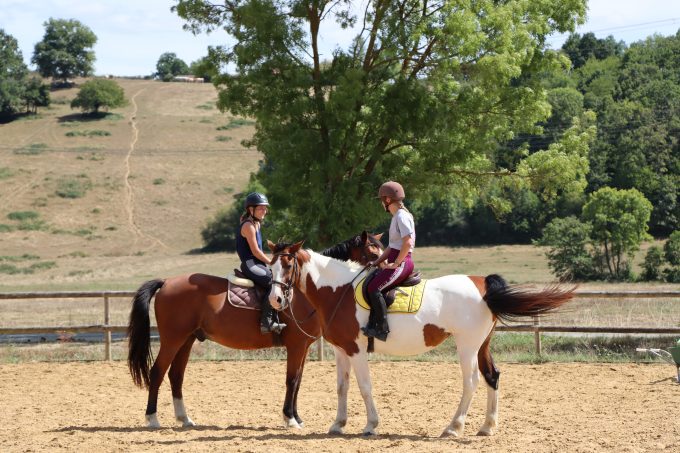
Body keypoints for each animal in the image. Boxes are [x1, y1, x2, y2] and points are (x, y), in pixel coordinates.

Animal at [127, 230, 382, 428]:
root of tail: (167, 282)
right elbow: (291, 380)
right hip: (172, 339)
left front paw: (296, 417)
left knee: (175, 375)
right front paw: (289, 419)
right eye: (373, 254)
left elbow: (298, 380)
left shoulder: (304, 347)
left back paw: (185, 419)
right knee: (157, 372)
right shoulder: (297, 345)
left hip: (187, 340)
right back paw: (152, 419)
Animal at [268, 242, 576, 436]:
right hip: (482, 346)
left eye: (288, 266)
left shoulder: (357, 350)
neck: (338, 290)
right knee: (492, 376)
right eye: (270, 267)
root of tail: (482, 284)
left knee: (472, 382)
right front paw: (338, 424)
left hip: (466, 346)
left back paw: (454, 427)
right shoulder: (342, 350)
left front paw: (371, 425)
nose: (276, 299)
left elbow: (365, 387)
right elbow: (342, 387)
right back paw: (487, 426)